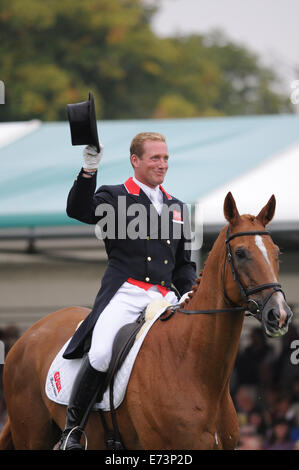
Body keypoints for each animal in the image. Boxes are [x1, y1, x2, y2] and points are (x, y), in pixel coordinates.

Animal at [0, 193, 294, 450]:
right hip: (32, 435)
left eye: (276, 253)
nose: (279, 314)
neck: (192, 365)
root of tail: (29, 334)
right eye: (241, 253)